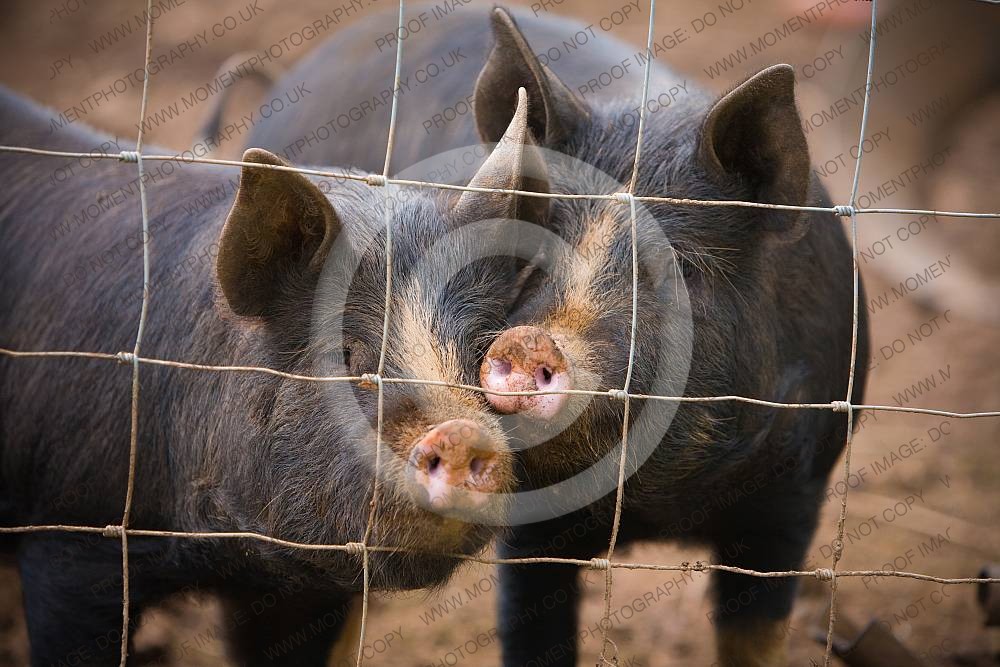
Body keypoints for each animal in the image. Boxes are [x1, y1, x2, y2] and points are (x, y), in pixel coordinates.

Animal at [0, 85, 549, 665]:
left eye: (481, 352)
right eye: (345, 356)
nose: (461, 432)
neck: (224, 555)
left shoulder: (300, 593)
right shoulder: (71, 538)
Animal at [222, 6, 869, 665]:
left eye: (682, 267)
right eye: (530, 254)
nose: (530, 339)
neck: (658, 507)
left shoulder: (795, 493)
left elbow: (754, 636)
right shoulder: (529, 526)